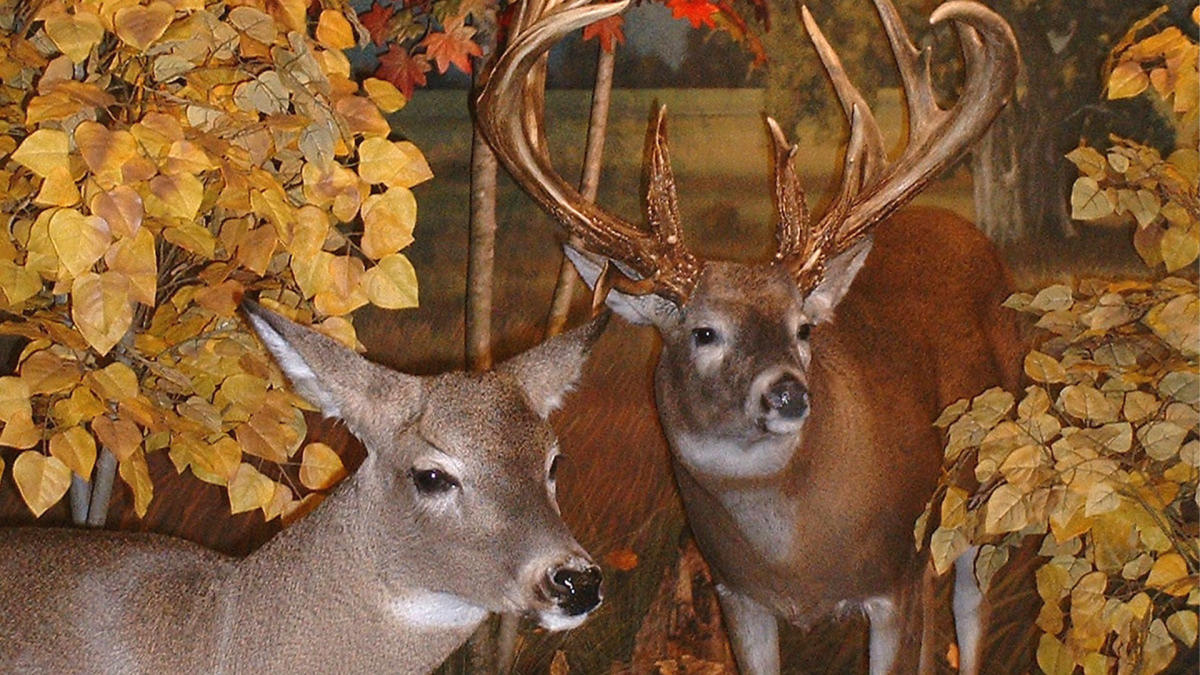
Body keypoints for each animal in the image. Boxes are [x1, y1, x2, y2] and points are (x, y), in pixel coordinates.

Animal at [475, 2, 1022, 667]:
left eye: (804, 327)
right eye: (705, 332)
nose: (788, 393)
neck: (799, 564)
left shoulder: (892, 579)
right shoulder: (735, 591)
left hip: (984, 494)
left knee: (970, 614)